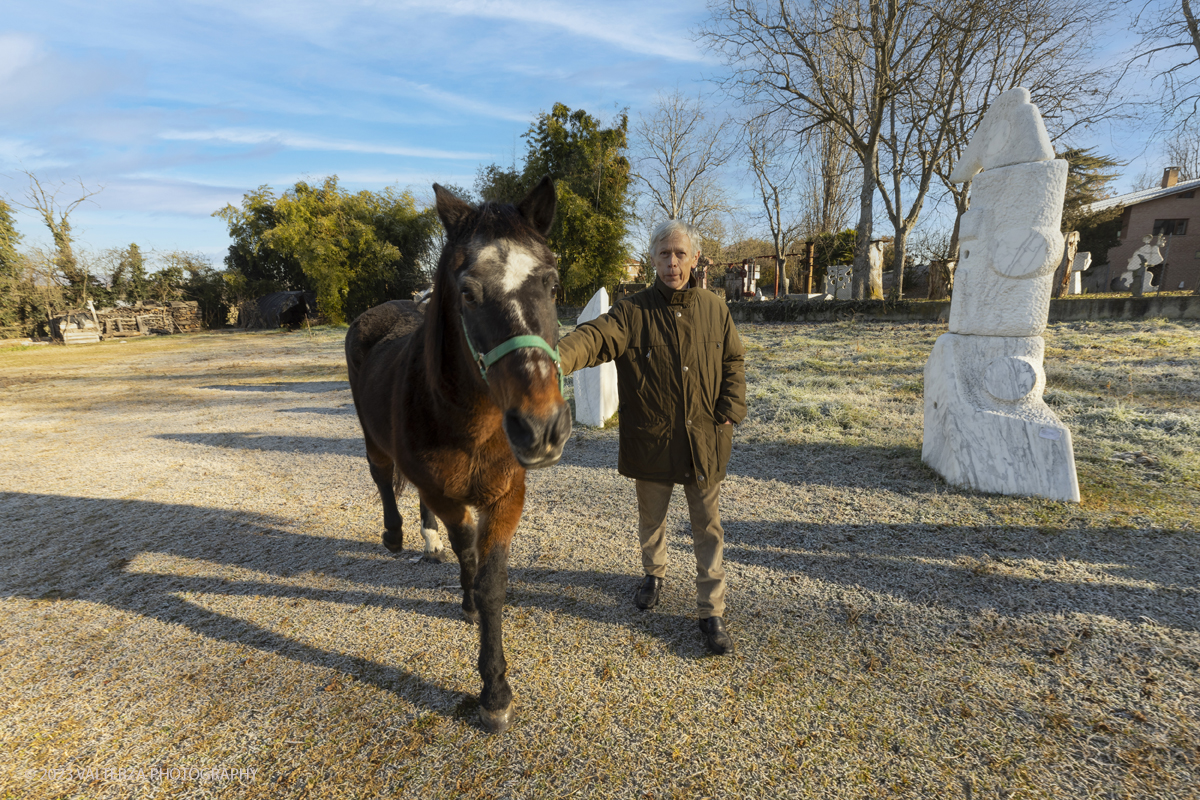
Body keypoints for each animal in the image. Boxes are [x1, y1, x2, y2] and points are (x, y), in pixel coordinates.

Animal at [348, 176, 571, 734]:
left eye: (552, 284)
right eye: (467, 293)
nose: (541, 428)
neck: (472, 425)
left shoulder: (507, 496)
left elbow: (492, 582)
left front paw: (494, 687)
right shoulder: (449, 496)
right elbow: (466, 546)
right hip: (374, 442)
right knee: (383, 479)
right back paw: (397, 536)